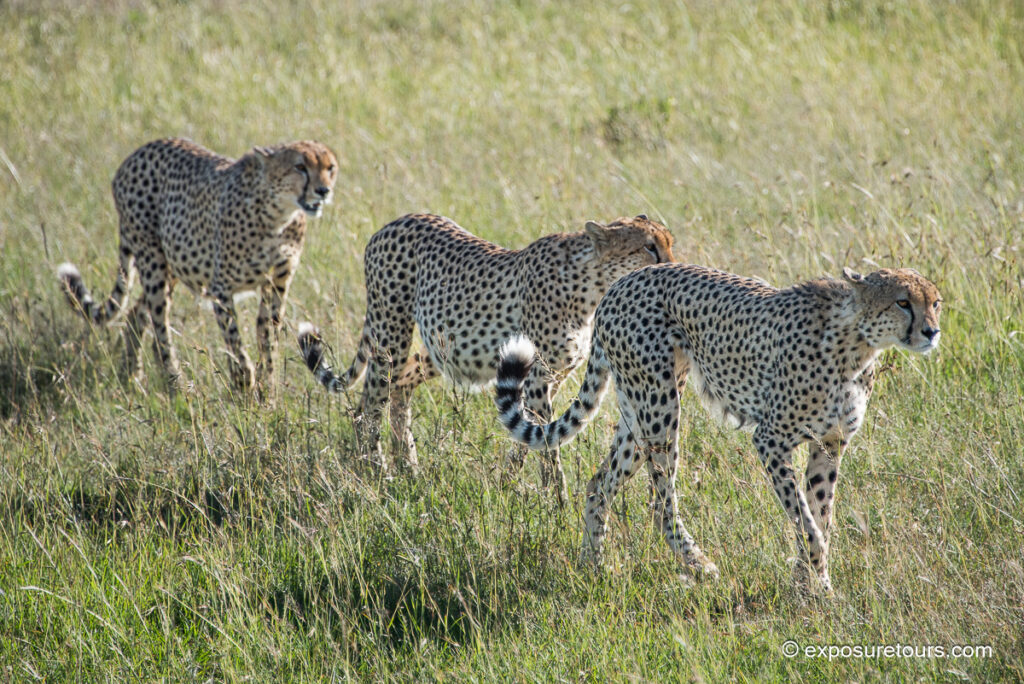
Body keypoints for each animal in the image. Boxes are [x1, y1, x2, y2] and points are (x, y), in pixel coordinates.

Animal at [58, 137, 338, 395]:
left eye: (330, 167)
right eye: (300, 167)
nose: (323, 190)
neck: (279, 216)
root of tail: (136, 154)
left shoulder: (276, 284)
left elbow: (268, 340)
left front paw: (266, 393)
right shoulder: (221, 288)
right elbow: (234, 340)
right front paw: (244, 381)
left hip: (171, 266)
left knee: (136, 314)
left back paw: (133, 377)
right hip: (153, 263)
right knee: (159, 328)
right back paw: (176, 384)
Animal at [297, 212, 675, 500]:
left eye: (669, 242)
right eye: (649, 246)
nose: (671, 267)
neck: (591, 282)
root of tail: (394, 221)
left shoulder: (548, 379)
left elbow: (527, 437)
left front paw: (507, 484)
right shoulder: (537, 379)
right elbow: (546, 442)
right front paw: (557, 502)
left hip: (443, 348)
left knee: (400, 387)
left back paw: (408, 467)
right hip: (390, 334)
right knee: (369, 404)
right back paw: (375, 470)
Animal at [495, 263, 942, 594]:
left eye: (935, 302)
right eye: (903, 302)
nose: (932, 331)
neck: (857, 343)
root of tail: (622, 282)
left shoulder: (829, 446)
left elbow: (820, 518)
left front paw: (813, 588)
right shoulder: (771, 439)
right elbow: (808, 524)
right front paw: (816, 585)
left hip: (638, 412)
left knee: (599, 483)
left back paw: (594, 565)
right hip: (659, 408)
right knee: (661, 504)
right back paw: (700, 565)